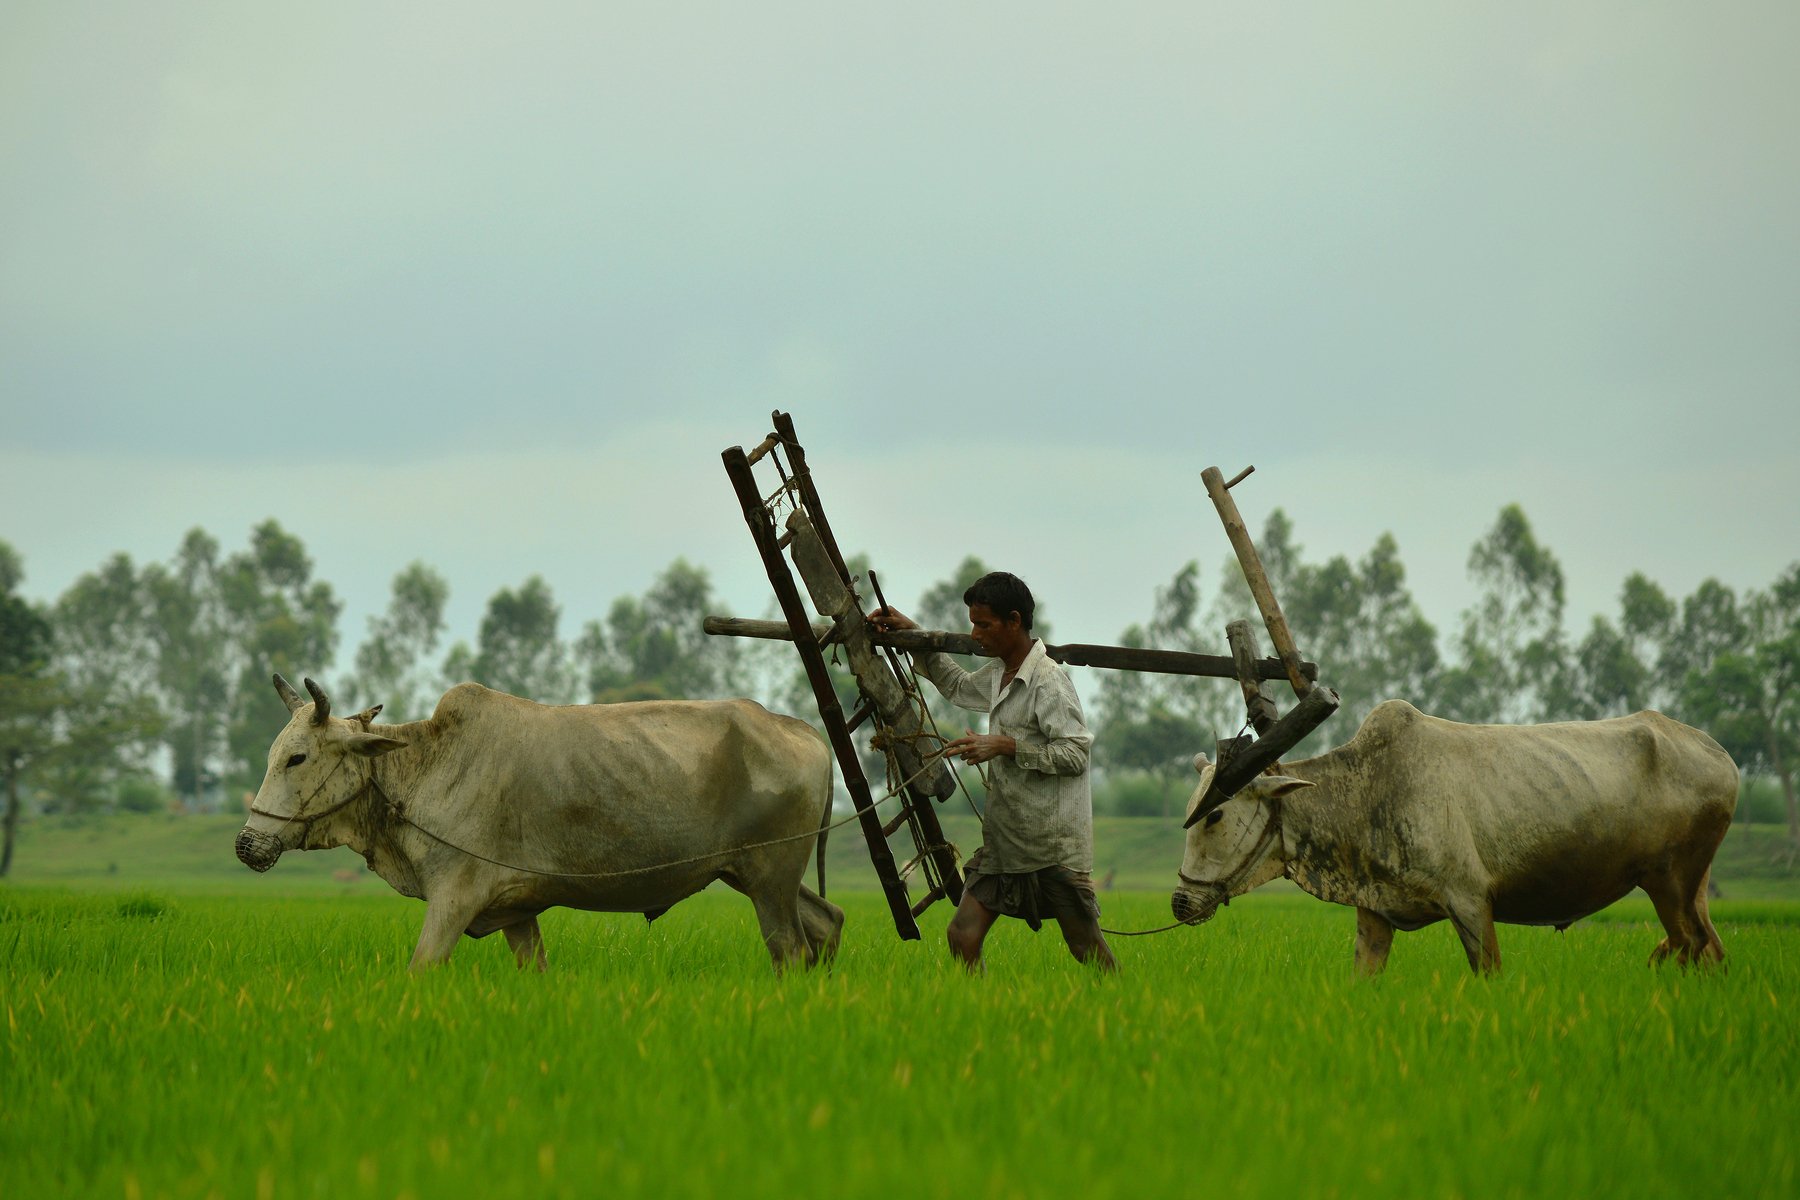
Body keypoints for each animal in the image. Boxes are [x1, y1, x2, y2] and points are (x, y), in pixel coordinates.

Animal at [235, 675, 845, 973]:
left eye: (297, 758)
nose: (246, 844)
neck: (425, 765)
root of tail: (800, 728)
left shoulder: (455, 896)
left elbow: (421, 967)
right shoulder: (516, 912)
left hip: (769, 880)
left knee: (791, 951)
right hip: (756, 876)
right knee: (827, 923)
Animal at [1170, 700, 1738, 974]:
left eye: (1214, 815)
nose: (1180, 902)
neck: (1369, 789)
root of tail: (1723, 758)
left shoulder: (1469, 902)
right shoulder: (1374, 912)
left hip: (1670, 882)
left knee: (1690, 944)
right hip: (1693, 887)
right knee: (1709, 949)